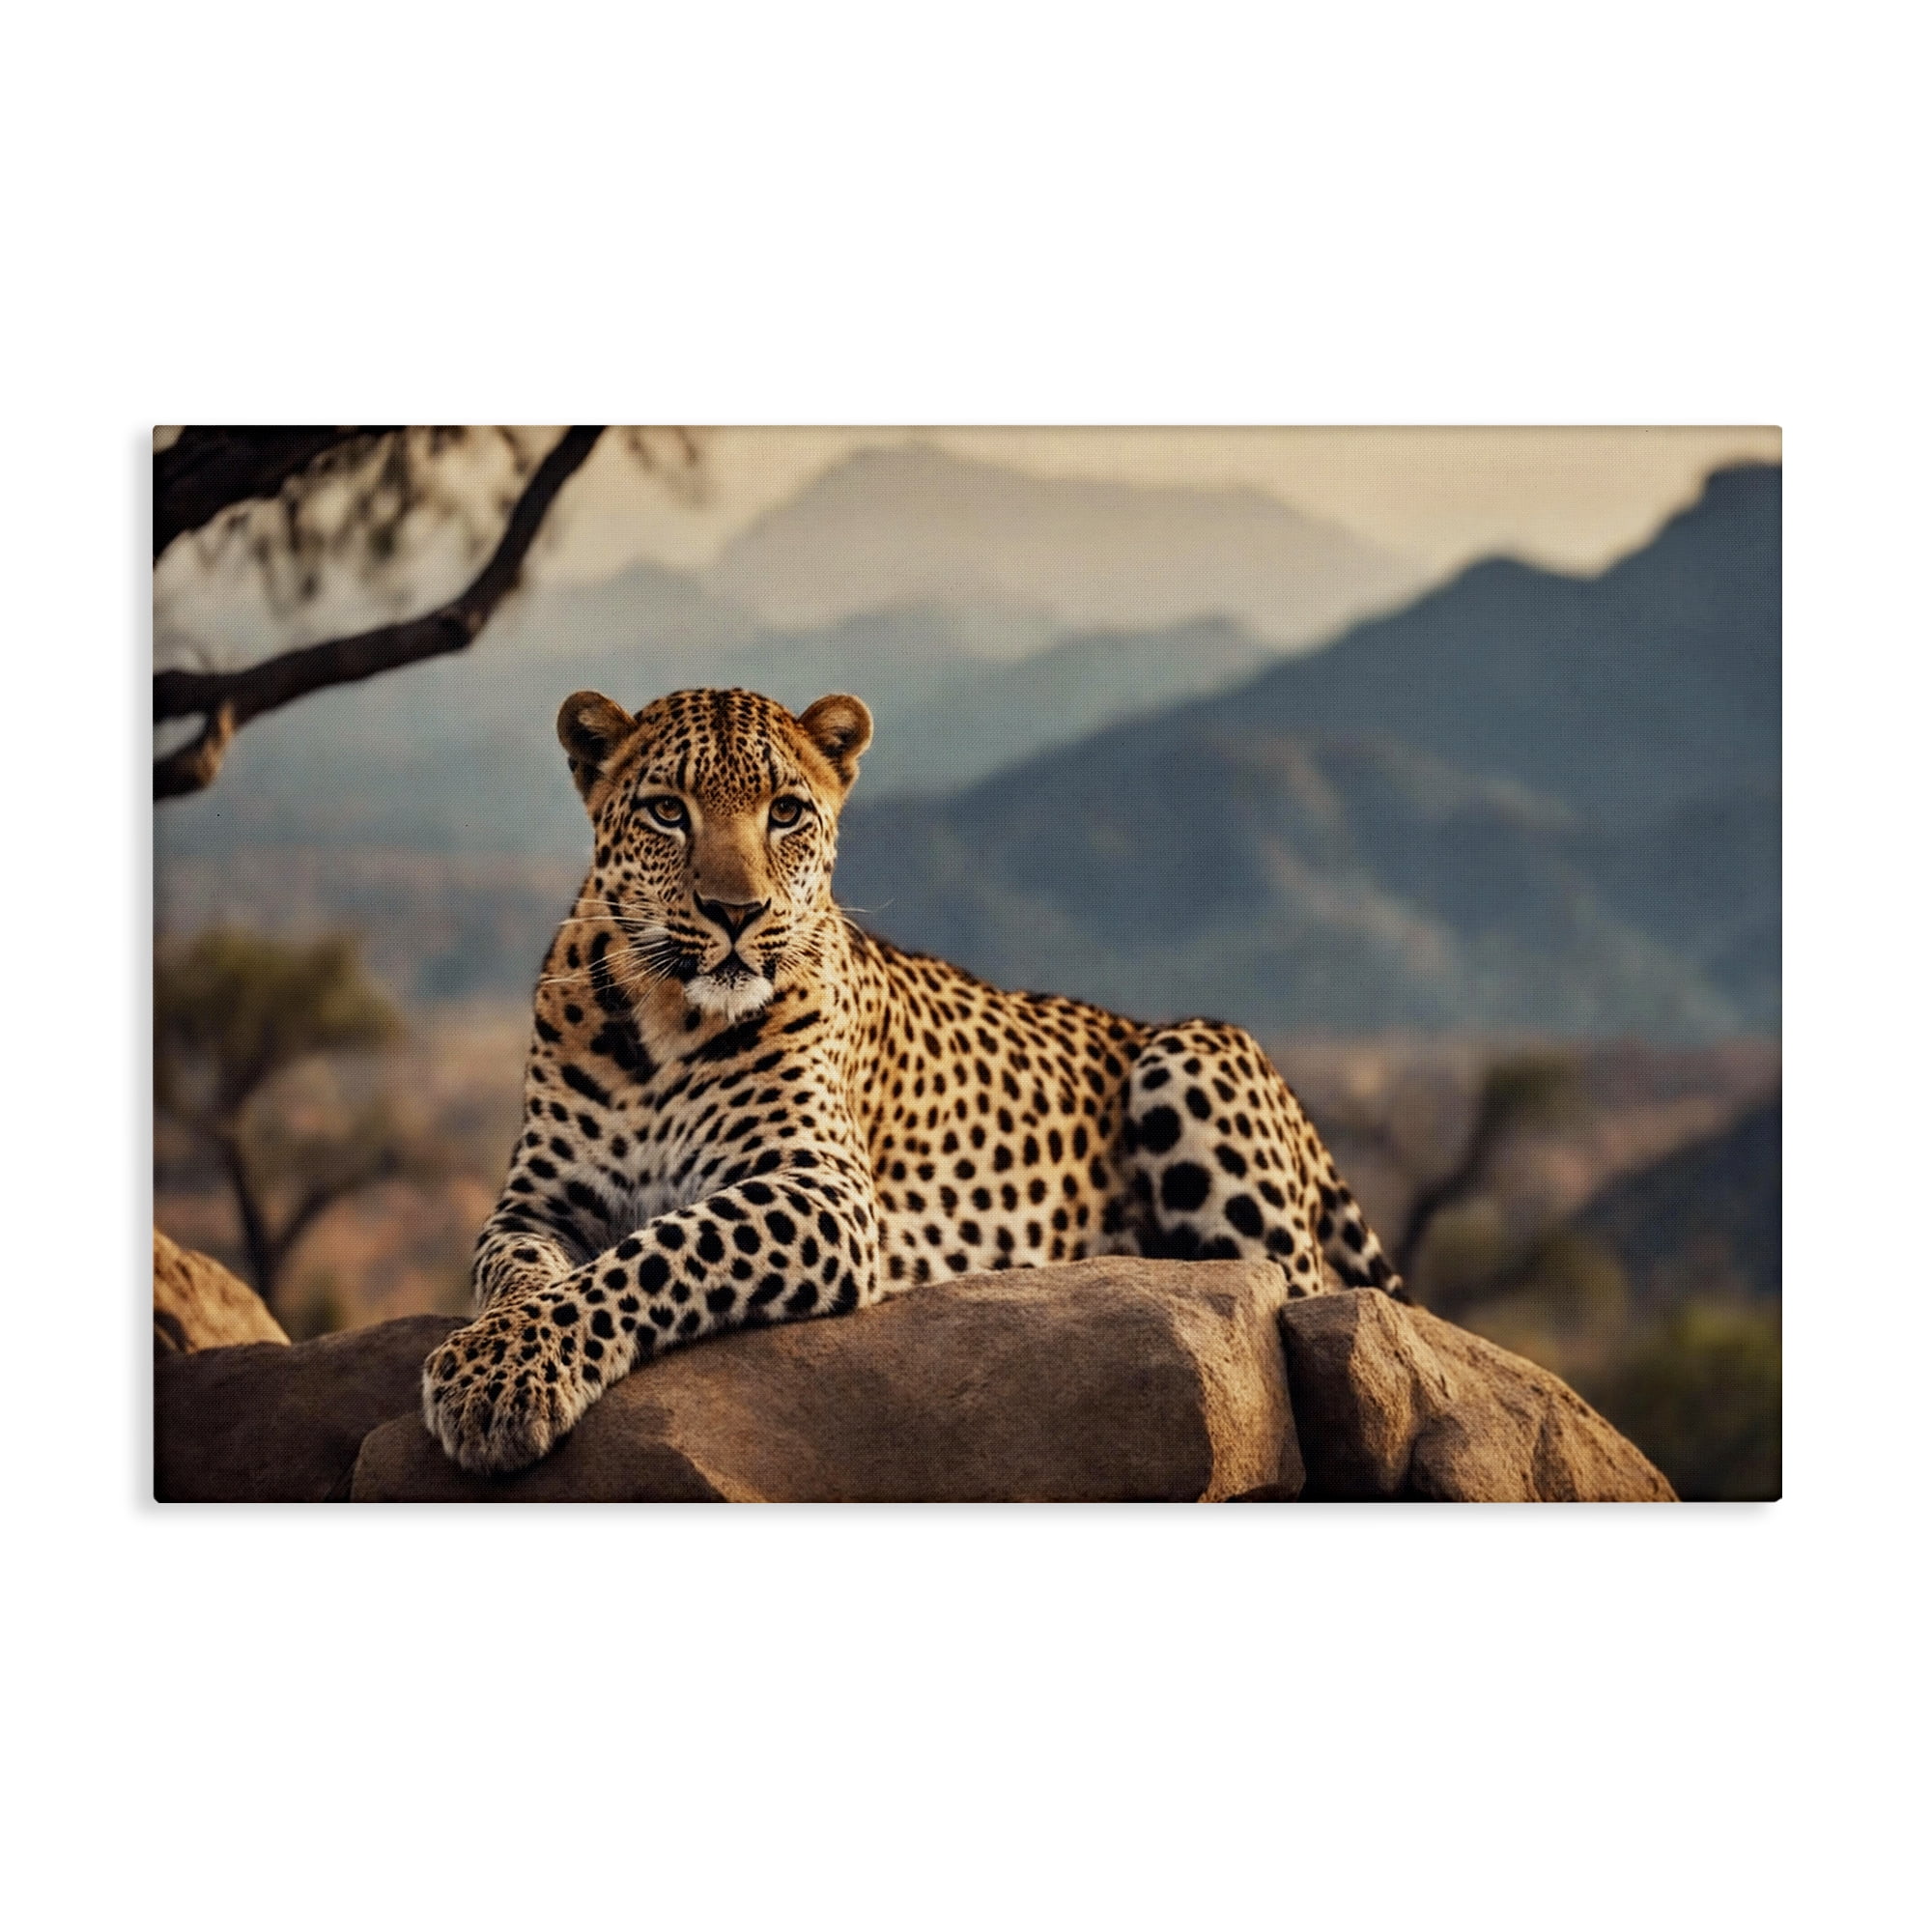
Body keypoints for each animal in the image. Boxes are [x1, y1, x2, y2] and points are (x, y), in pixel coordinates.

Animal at [422, 685, 1406, 1474]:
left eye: (787, 812)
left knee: (1293, 1287)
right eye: (667, 811)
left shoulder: (820, 1189)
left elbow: (657, 1251)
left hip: (1193, 1060)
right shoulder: (537, 1201)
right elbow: (522, 1270)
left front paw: (497, 1377)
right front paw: (495, 1353)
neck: (667, 1017)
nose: (737, 913)